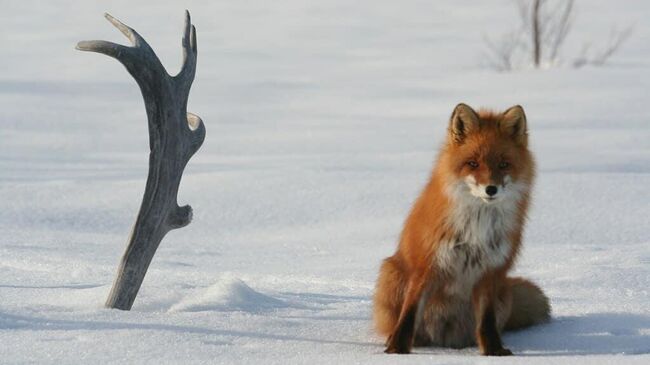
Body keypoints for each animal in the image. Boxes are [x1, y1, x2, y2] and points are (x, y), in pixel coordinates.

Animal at [372, 103, 548, 356]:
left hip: (503, 291)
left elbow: (486, 323)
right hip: (391, 273)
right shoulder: (426, 266)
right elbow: (409, 315)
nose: (491, 189)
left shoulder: (490, 271)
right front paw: (397, 350)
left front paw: (493, 352)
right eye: (473, 163)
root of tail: (446, 340)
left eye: (503, 164)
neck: (476, 226)